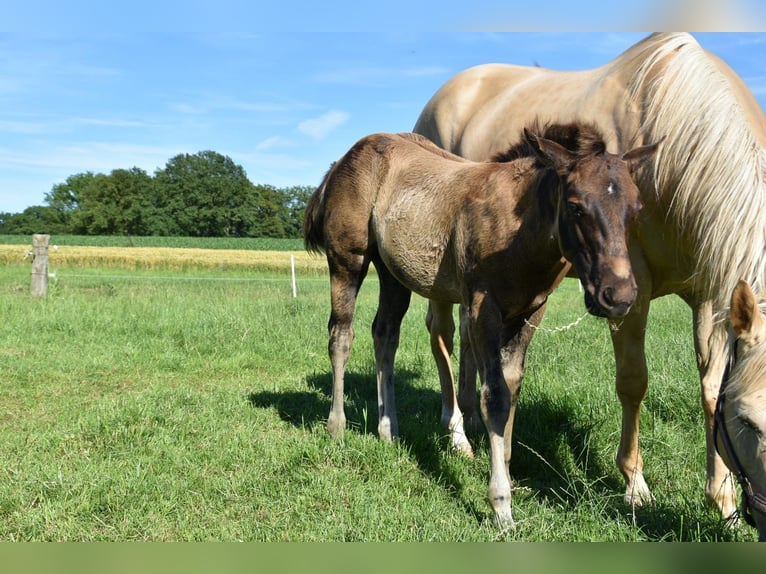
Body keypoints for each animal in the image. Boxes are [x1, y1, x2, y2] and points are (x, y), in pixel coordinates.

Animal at [303, 124, 658, 526]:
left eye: (636, 209)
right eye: (575, 205)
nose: (619, 295)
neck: (521, 233)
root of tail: (341, 161)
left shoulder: (530, 312)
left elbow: (513, 383)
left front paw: (507, 469)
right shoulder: (481, 308)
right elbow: (495, 395)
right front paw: (501, 504)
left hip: (393, 274)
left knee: (385, 335)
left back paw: (388, 429)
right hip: (348, 260)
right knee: (341, 335)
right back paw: (337, 426)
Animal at [412, 32, 766, 524]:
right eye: (749, 420)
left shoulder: (712, 293)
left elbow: (713, 389)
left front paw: (723, 498)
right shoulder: (632, 291)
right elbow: (633, 381)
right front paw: (635, 485)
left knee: (468, 336)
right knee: (442, 335)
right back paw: (458, 431)